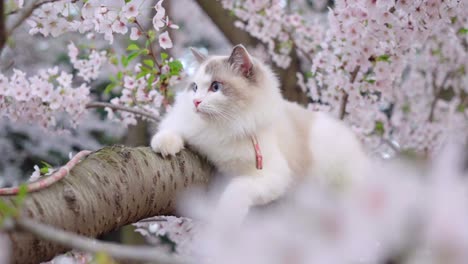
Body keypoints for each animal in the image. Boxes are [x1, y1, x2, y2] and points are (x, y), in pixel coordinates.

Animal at [152, 44, 368, 223]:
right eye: (195, 87)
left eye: (216, 87)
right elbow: (172, 131)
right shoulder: (186, 126)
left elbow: (238, 188)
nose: (195, 102)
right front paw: (164, 145)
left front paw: (227, 215)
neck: (223, 126)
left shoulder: (273, 175)